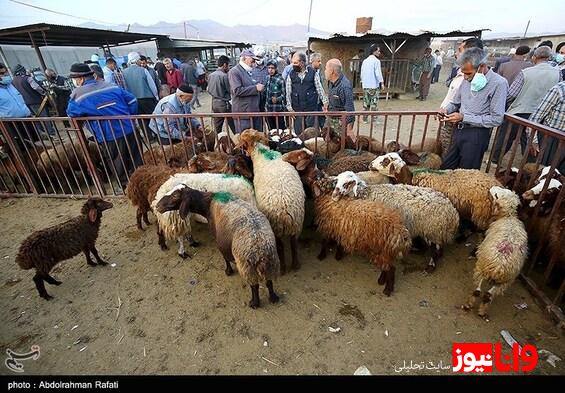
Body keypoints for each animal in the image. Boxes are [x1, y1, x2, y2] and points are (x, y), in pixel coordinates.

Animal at [235, 129, 304, 272]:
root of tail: (285, 210)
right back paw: (295, 265)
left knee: (281, 246)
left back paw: (283, 268)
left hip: (275, 225)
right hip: (297, 221)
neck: (264, 153)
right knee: (294, 244)